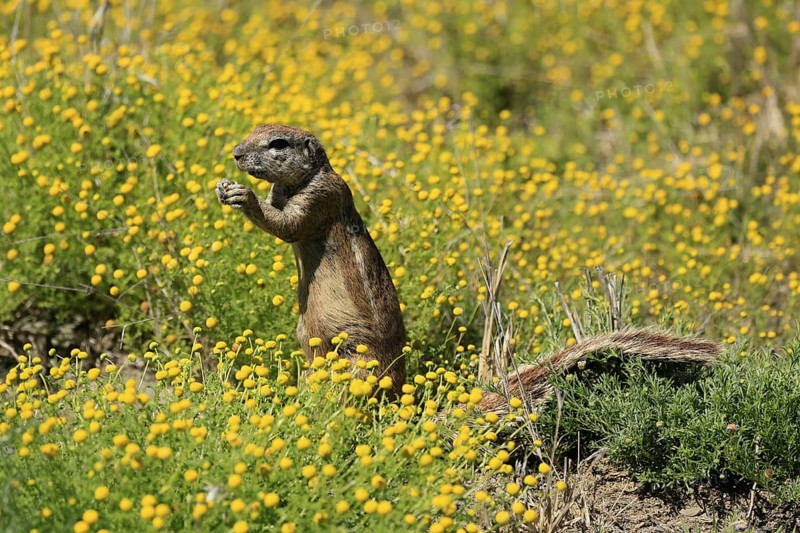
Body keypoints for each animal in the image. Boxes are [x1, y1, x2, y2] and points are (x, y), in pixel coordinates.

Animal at [216, 124, 723, 406]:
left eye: (277, 142)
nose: (236, 154)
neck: (303, 179)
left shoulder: (321, 198)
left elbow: (289, 224)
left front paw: (243, 197)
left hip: (352, 361)